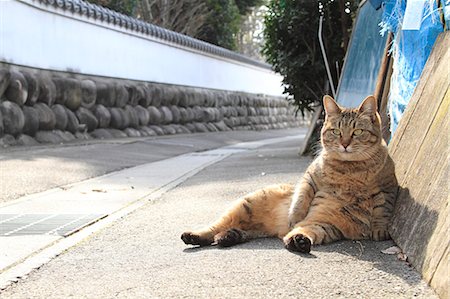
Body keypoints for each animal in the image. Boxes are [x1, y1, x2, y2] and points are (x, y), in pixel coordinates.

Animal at [180, 95, 398, 253]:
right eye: (336, 132)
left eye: (357, 132)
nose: (344, 144)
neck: (350, 170)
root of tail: (269, 230)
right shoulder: (310, 177)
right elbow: (301, 198)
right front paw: (295, 215)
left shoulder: (387, 188)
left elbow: (383, 208)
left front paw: (379, 228)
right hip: (245, 205)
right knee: (214, 227)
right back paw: (194, 236)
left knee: (238, 231)